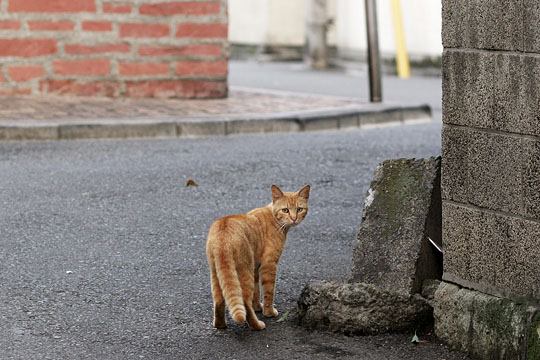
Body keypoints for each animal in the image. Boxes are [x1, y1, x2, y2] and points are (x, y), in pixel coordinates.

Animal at [206, 184, 310, 330]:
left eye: (299, 209)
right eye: (285, 210)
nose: (294, 218)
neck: (275, 218)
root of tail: (223, 228)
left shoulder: (256, 266)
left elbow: (256, 291)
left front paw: (258, 307)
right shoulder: (269, 265)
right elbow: (268, 292)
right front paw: (268, 312)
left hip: (217, 274)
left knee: (219, 300)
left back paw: (220, 325)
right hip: (245, 270)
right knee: (245, 303)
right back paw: (257, 325)